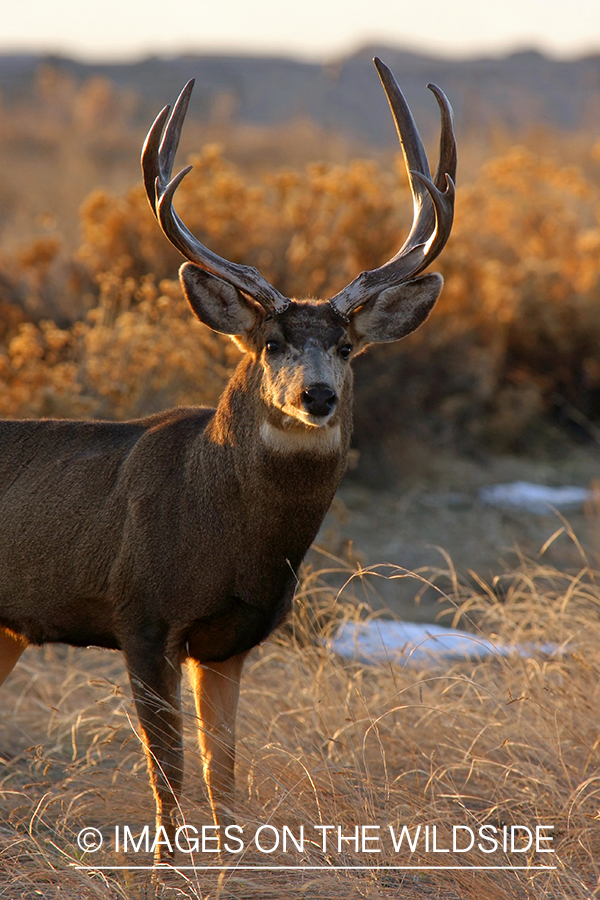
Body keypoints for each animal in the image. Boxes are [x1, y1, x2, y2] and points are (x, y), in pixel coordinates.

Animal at [0, 58, 454, 864]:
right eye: (270, 342)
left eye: (346, 346)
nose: (316, 395)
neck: (223, 531)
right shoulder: (141, 613)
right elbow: (169, 776)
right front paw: (165, 871)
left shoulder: (230, 643)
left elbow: (224, 778)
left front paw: (228, 869)